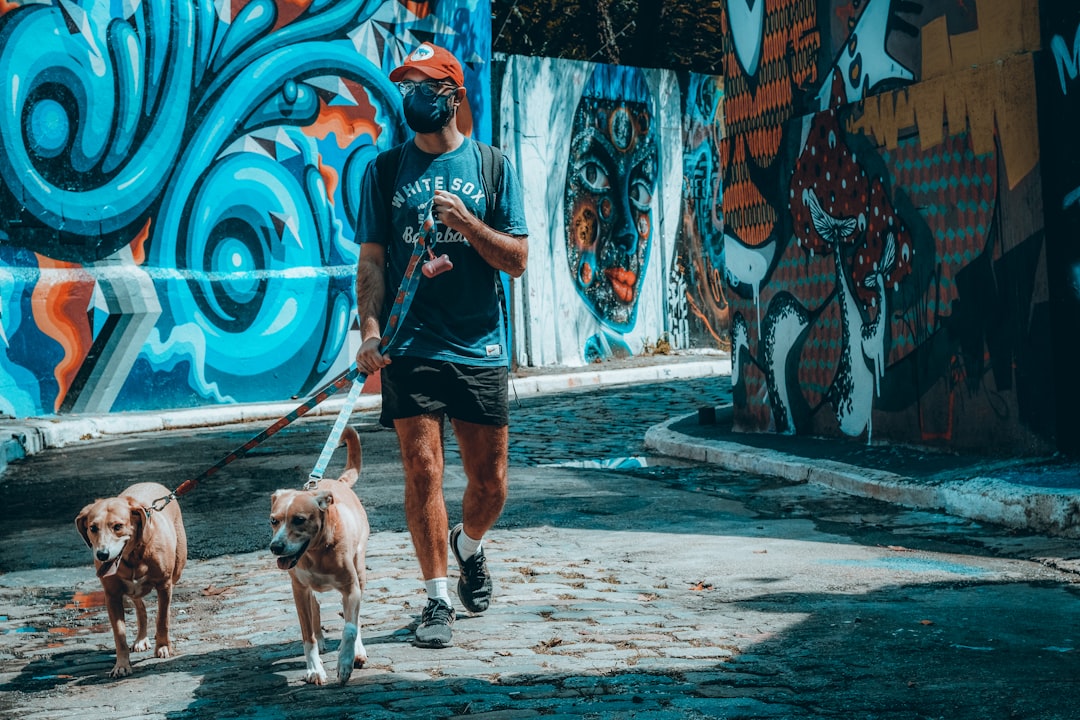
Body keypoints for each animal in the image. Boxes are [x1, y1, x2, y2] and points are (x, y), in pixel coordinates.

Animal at [75, 481, 186, 677]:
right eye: (93, 528)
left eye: (118, 526)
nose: (102, 554)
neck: (133, 556)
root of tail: (151, 483)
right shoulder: (112, 595)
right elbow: (119, 635)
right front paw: (121, 664)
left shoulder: (164, 585)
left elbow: (162, 619)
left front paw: (163, 646)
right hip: (131, 591)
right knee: (140, 606)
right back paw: (141, 639)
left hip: (177, 569)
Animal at [270, 427, 371, 686]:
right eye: (273, 521)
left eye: (299, 520)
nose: (275, 547)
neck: (317, 552)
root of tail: (338, 482)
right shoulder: (300, 590)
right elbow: (308, 637)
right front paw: (315, 669)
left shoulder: (351, 588)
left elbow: (350, 628)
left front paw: (345, 663)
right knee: (315, 609)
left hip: (360, 570)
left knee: (354, 620)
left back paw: (357, 652)